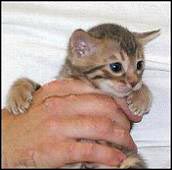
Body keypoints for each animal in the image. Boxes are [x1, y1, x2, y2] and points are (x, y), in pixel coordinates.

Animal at [6, 23, 161, 168]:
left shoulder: (128, 122)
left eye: (139, 65)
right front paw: (17, 96)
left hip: (130, 158)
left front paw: (140, 97)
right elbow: (29, 83)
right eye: (116, 67)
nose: (134, 82)